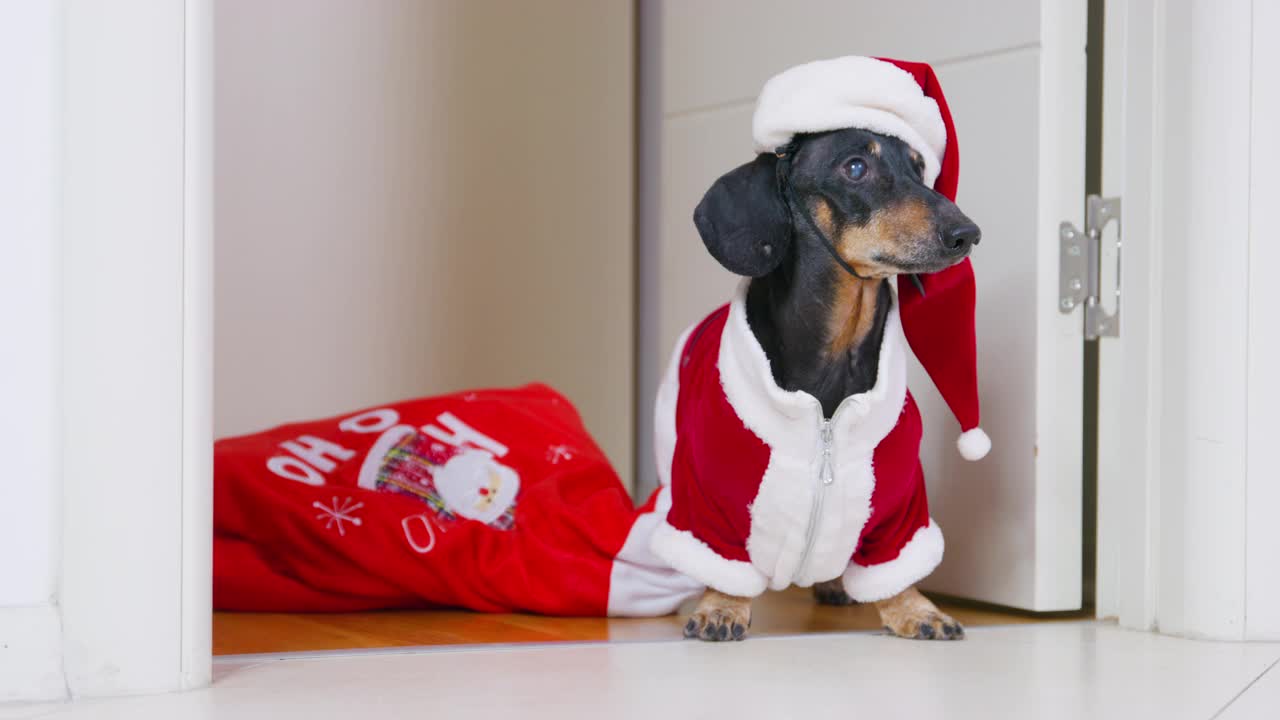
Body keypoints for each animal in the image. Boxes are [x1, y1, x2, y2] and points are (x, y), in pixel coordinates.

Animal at [680, 124, 977, 638]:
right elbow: (720, 557)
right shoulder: (708, 494)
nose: (968, 233)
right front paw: (721, 605)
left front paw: (915, 608)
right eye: (855, 166)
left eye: (919, 167)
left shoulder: (901, 498)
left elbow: (896, 563)